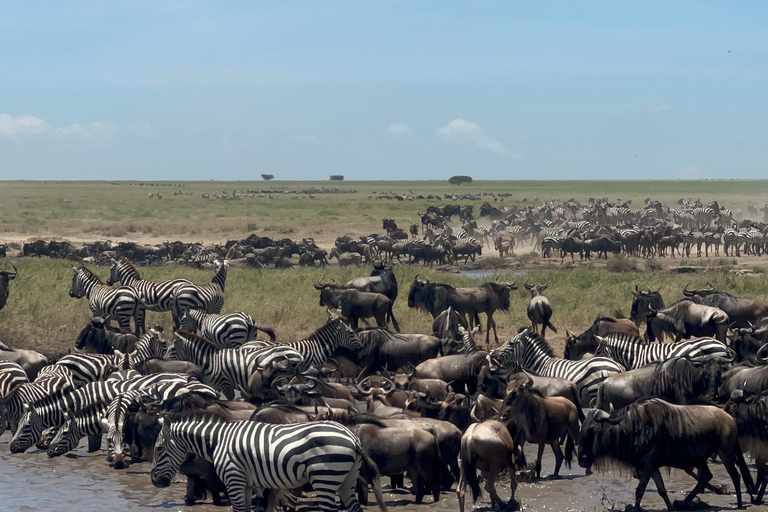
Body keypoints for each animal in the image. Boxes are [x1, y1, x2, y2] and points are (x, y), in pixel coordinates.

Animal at [152, 410, 390, 512]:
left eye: (158, 448)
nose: (155, 482)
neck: (219, 440)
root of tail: (351, 436)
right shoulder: (246, 483)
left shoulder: (234, 479)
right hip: (346, 479)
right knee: (354, 508)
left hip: (325, 478)